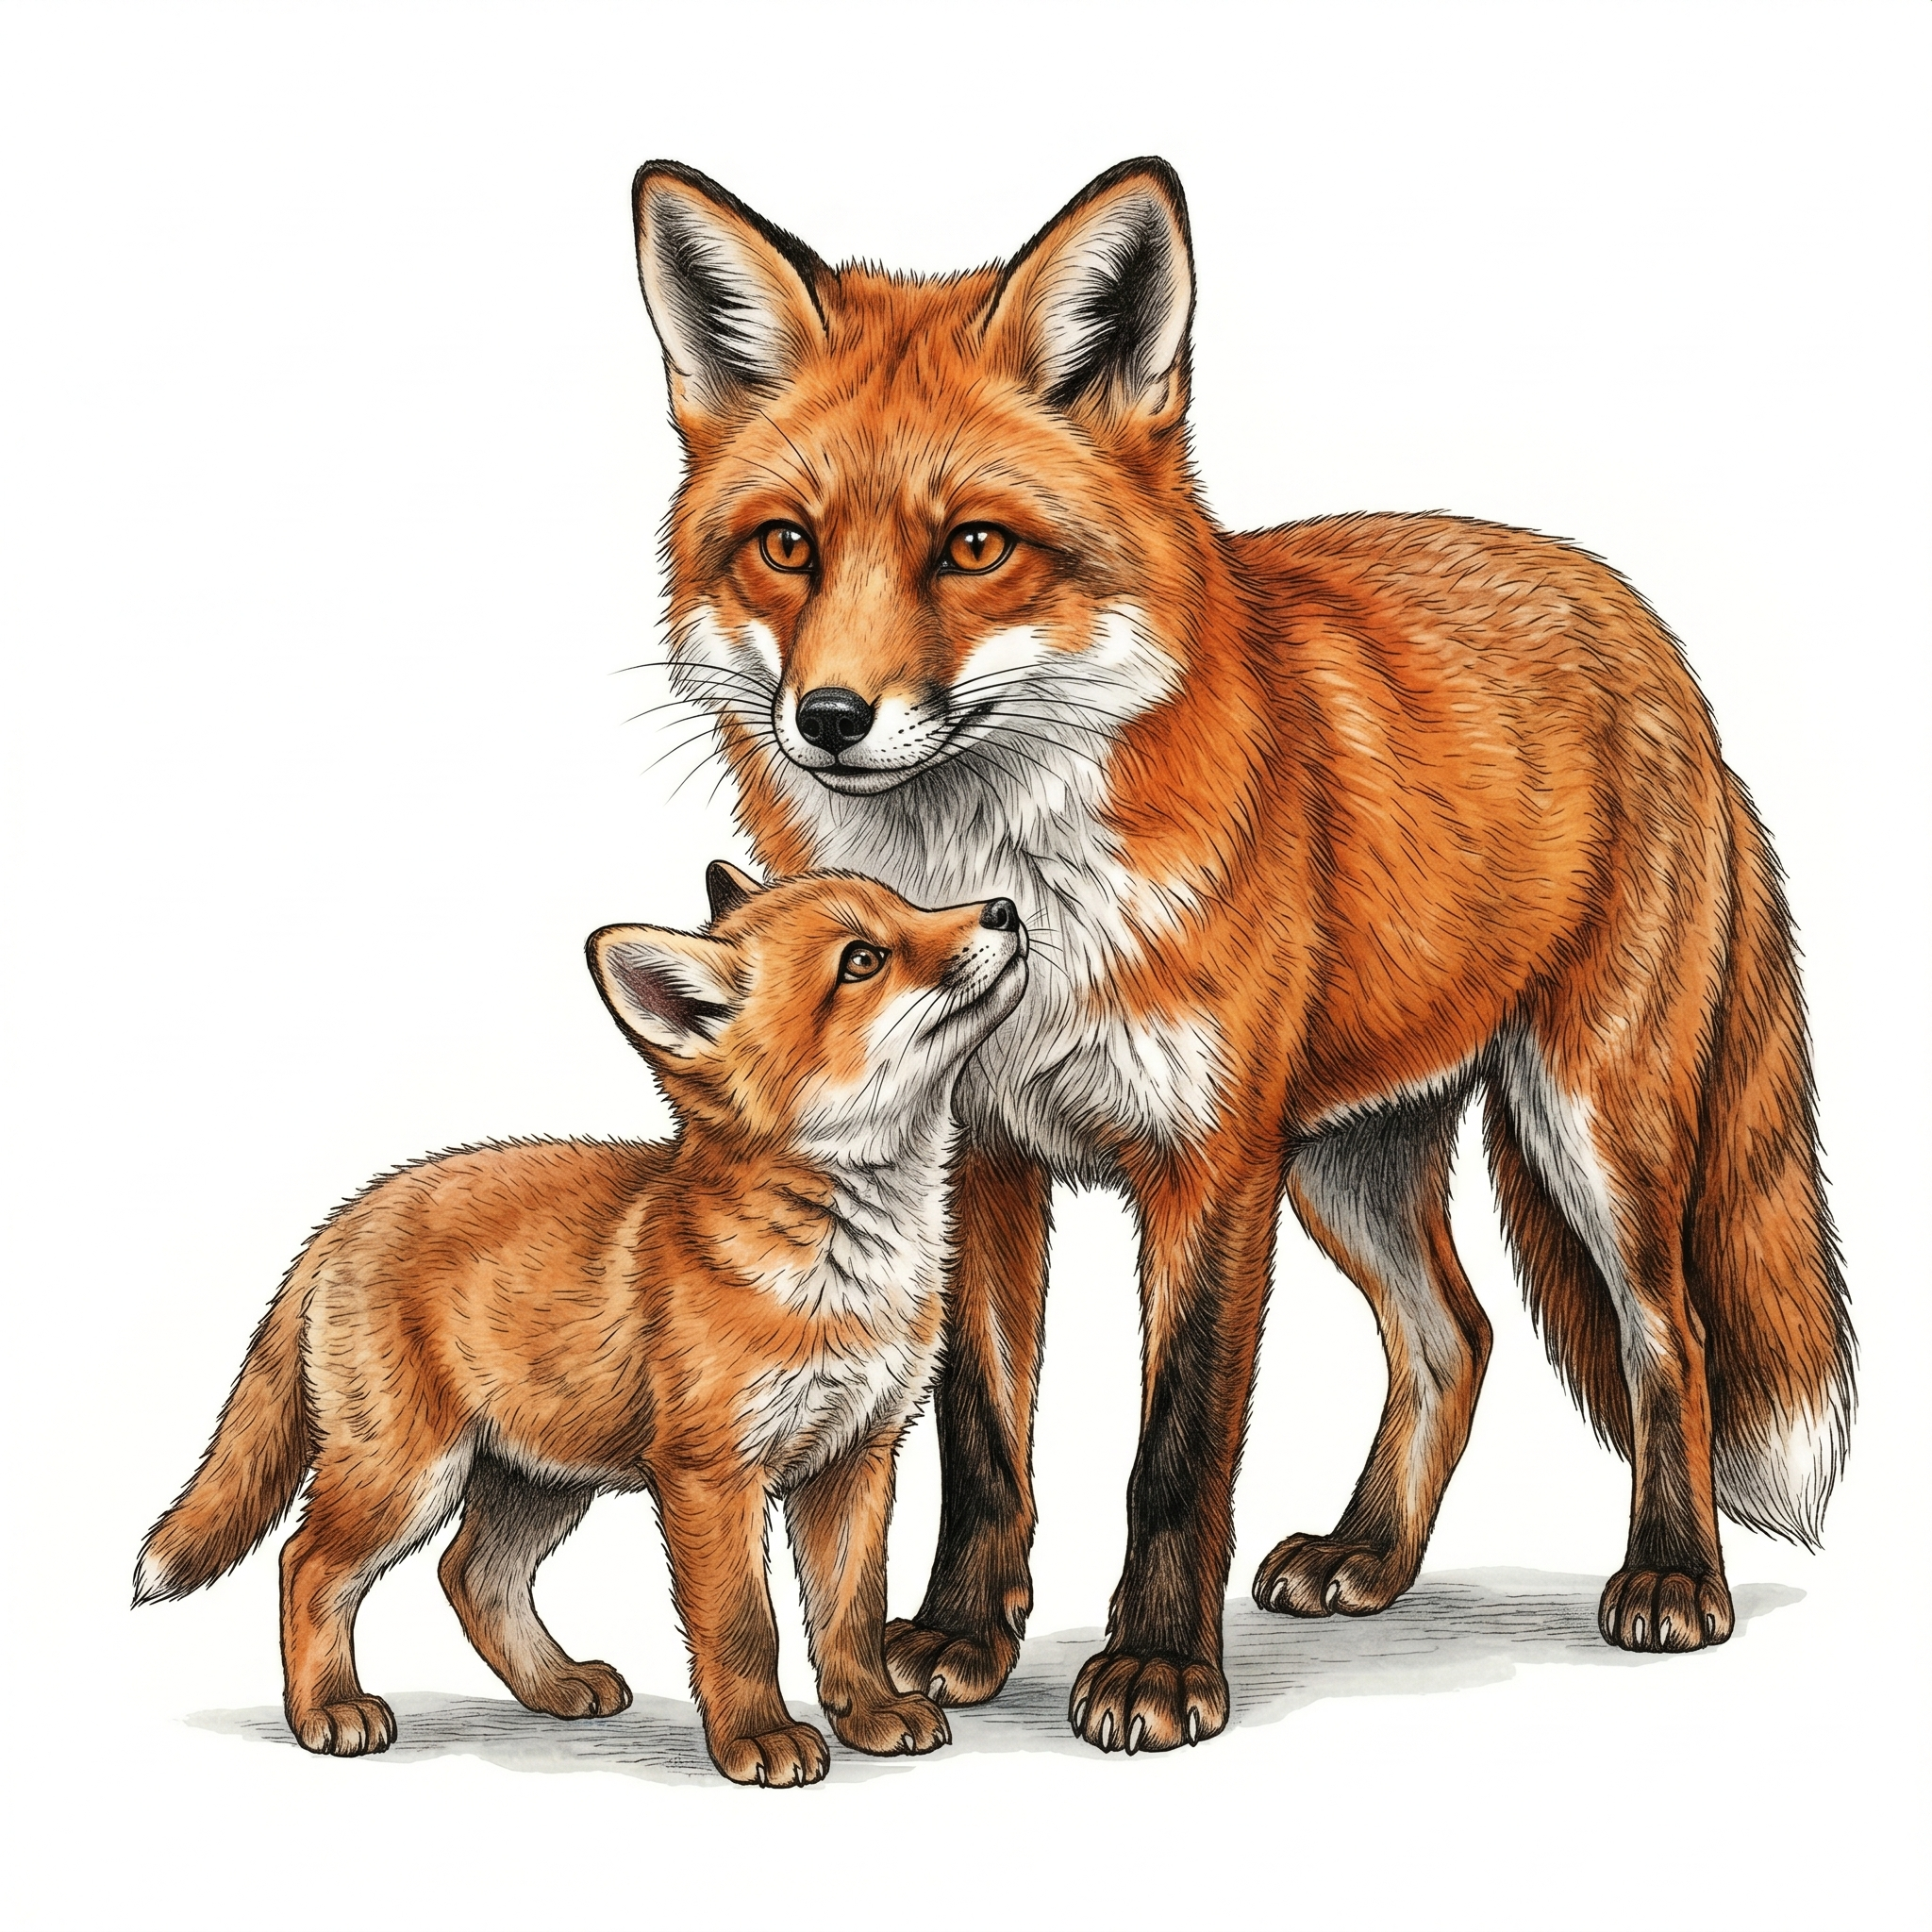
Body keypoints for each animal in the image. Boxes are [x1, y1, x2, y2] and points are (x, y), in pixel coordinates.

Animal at [134, 865, 1029, 1785]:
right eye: (862, 960)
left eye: (910, 906)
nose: (1006, 909)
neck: (844, 1270)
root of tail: (344, 1219)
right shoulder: (710, 1473)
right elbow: (743, 1624)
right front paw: (758, 1736)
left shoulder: (856, 1455)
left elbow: (850, 1613)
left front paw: (872, 1712)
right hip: (407, 1477)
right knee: (307, 1564)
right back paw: (330, 1709)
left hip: (542, 1479)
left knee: (471, 1574)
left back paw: (556, 1685)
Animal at [627, 157, 1856, 1756]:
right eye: (788, 546)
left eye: (974, 546)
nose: (830, 718)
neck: (1017, 891)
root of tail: (1645, 631)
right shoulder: (983, 1157)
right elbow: (985, 1435)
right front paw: (958, 1636)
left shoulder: (1209, 1162)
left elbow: (1177, 1447)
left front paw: (1157, 1668)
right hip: (1345, 1157)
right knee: (1455, 1338)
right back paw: (1371, 1556)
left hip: (1593, 1125)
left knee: (1672, 1340)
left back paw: (1672, 1574)